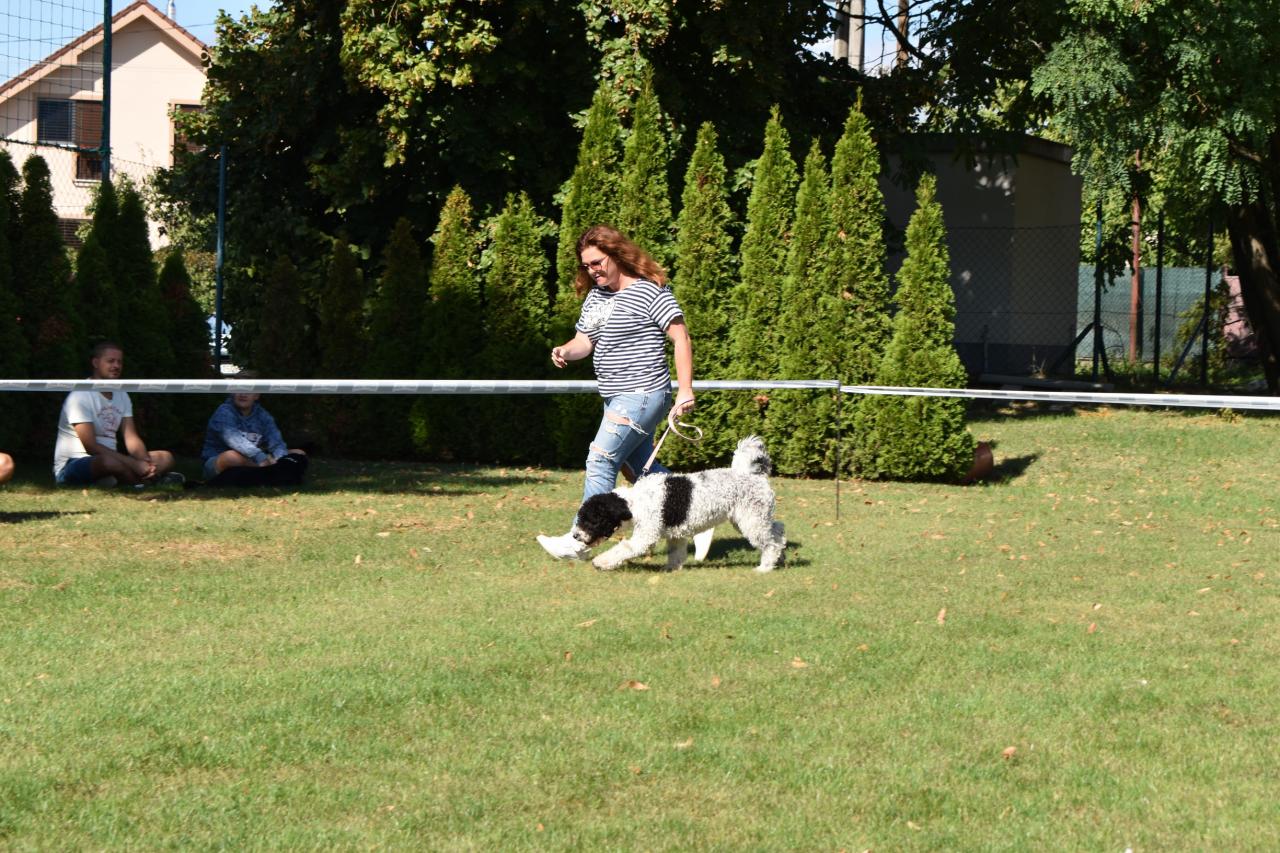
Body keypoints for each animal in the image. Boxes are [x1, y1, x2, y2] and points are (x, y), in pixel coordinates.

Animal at [570, 435, 786, 572]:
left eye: (591, 520)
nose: (575, 536)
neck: (633, 503)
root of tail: (754, 474)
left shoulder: (645, 536)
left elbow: (624, 548)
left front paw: (601, 562)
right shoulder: (676, 534)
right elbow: (676, 553)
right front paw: (671, 568)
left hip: (751, 520)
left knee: (770, 543)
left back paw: (765, 567)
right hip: (751, 518)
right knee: (778, 530)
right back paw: (781, 557)